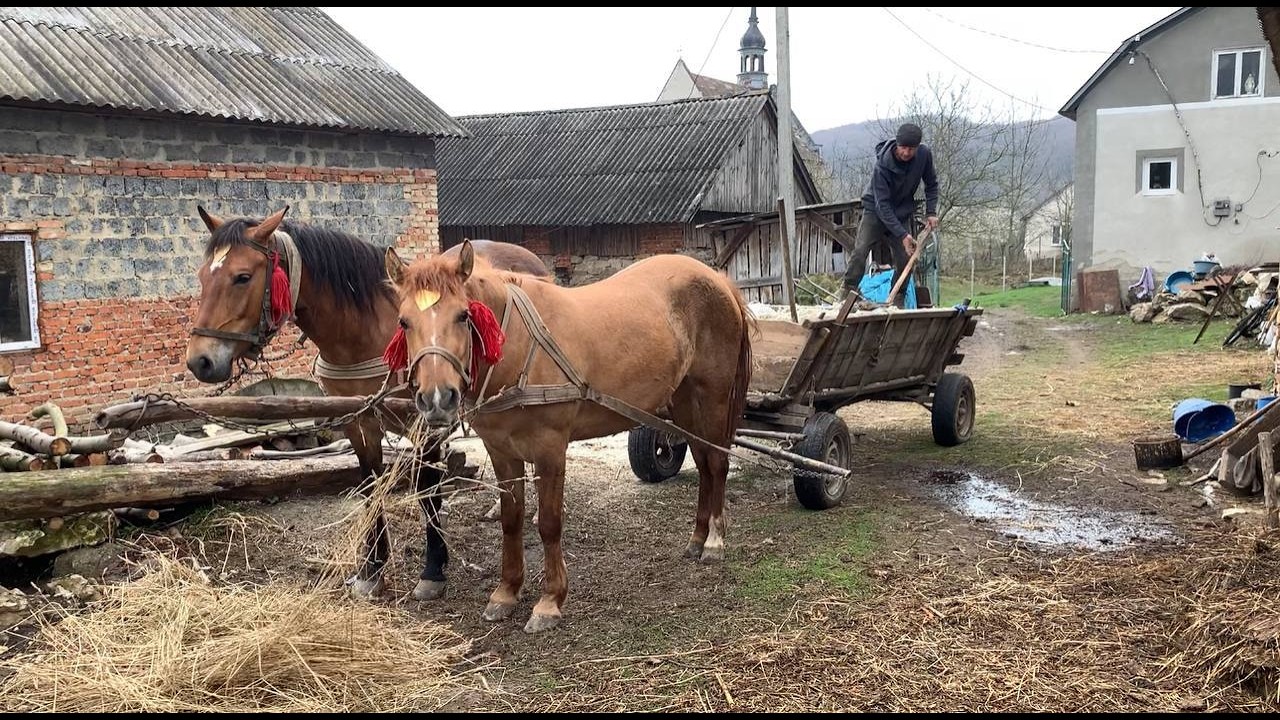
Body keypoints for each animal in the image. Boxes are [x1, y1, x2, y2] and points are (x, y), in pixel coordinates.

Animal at [184, 205, 549, 601]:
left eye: (242, 277)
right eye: (202, 276)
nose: (200, 361)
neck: (366, 329)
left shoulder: (424, 421)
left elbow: (426, 489)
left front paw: (433, 569)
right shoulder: (358, 421)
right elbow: (371, 488)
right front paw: (372, 569)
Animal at [384, 239, 753, 633]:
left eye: (463, 315)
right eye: (403, 321)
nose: (437, 398)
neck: (519, 347)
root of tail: (717, 279)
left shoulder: (550, 449)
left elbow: (549, 524)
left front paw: (549, 601)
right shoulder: (502, 452)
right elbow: (510, 521)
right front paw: (506, 593)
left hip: (712, 397)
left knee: (717, 463)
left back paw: (714, 540)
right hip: (683, 400)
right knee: (703, 463)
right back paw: (697, 538)